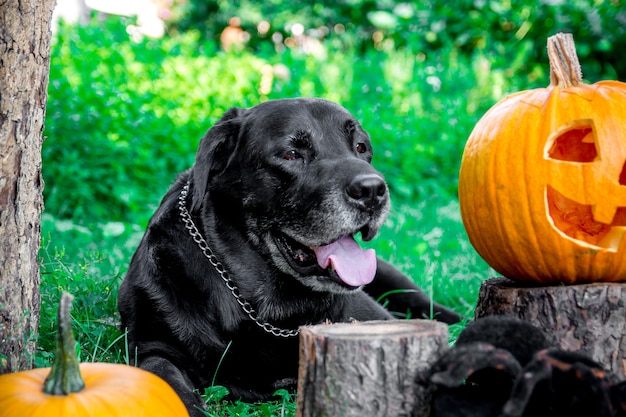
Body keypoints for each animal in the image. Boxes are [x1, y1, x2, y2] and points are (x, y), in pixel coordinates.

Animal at [117, 96, 458, 412]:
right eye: (291, 154)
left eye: (361, 147)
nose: (372, 190)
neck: (268, 310)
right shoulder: (151, 344)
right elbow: (164, 377)